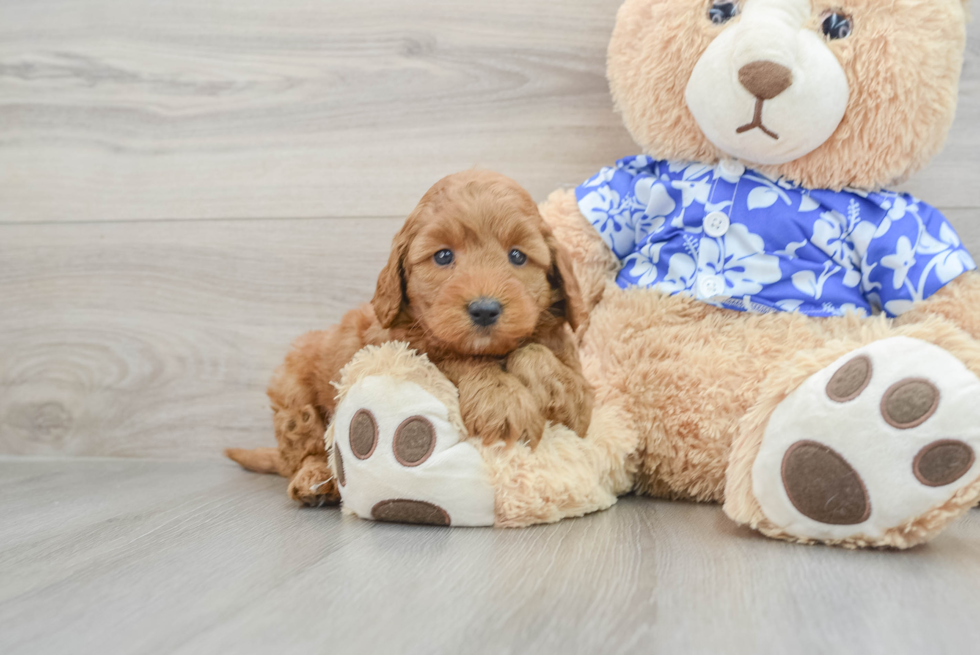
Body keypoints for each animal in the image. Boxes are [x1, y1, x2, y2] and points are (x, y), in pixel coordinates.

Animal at [227, 170, 592, 508]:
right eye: (443, 256)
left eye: (517, 256)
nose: (485, 310)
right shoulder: (405, 348)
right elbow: (457, 358)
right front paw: (501, 399)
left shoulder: (580, 384)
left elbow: (543, 362)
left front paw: (554, 391)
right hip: (292, 390)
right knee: (305, 448)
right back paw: (315, 479)